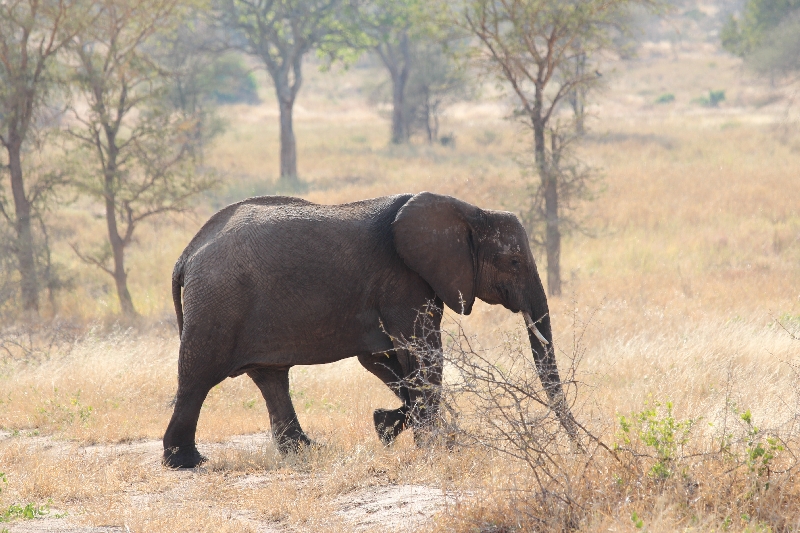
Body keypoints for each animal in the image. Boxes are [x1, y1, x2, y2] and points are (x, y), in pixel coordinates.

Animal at [164, 191, 576, 466]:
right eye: (514, 262)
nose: (576, 447)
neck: (469, 211)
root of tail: (186, 254)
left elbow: (382, 359)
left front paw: (389, 428)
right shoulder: (404, 282)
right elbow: (424, 352)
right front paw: (433, 444)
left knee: (271, 378)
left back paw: (308, 451)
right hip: (217, 303)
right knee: (197, 378)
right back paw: (187, 462)